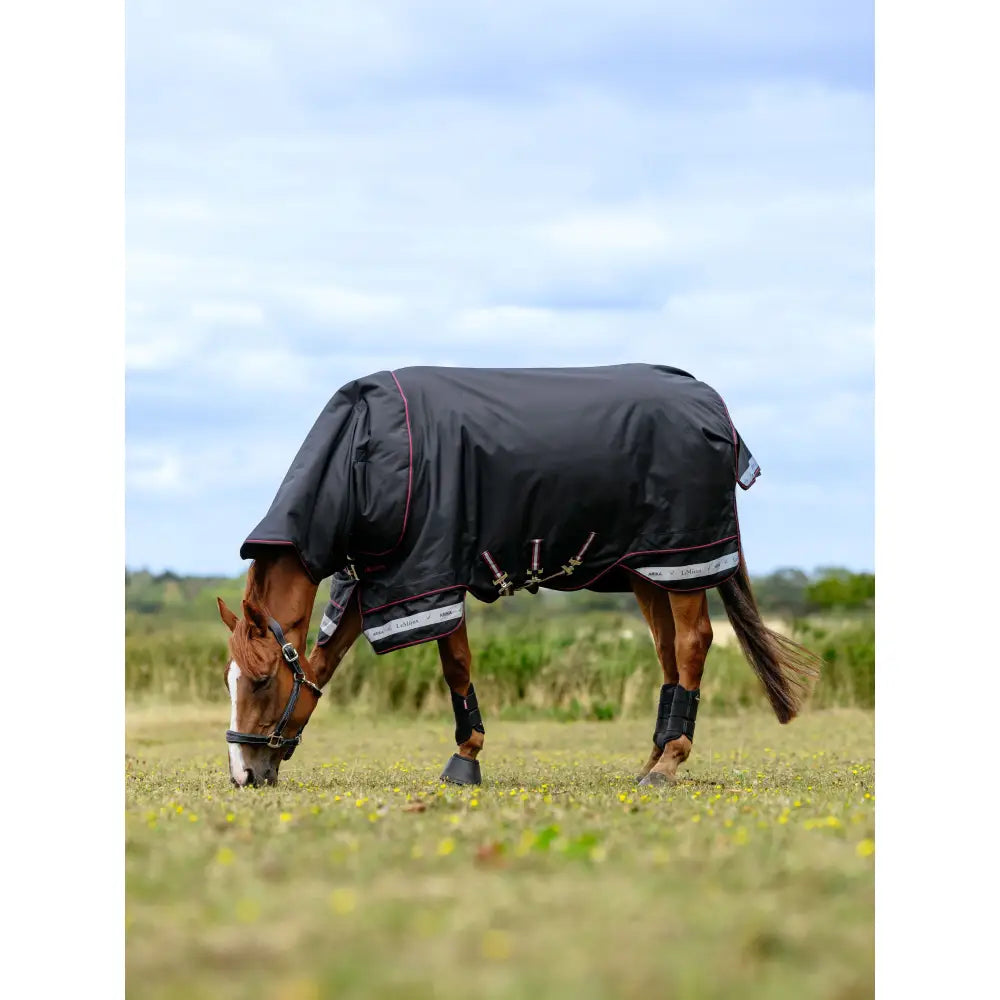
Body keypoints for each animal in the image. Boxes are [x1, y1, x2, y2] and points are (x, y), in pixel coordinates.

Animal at [217, 364, 818, 787]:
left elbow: (455, 665)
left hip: (683, 561)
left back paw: (669, 763)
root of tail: (712, 404)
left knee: (694, 643)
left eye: (263, 680)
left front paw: (465, 759)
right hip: (650, 570)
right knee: (668, 651)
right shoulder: (375, 579)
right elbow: (326, 659)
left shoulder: (432, 576)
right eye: (229, 680)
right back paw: (651, 759)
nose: (243, 773)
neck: (365, 458)